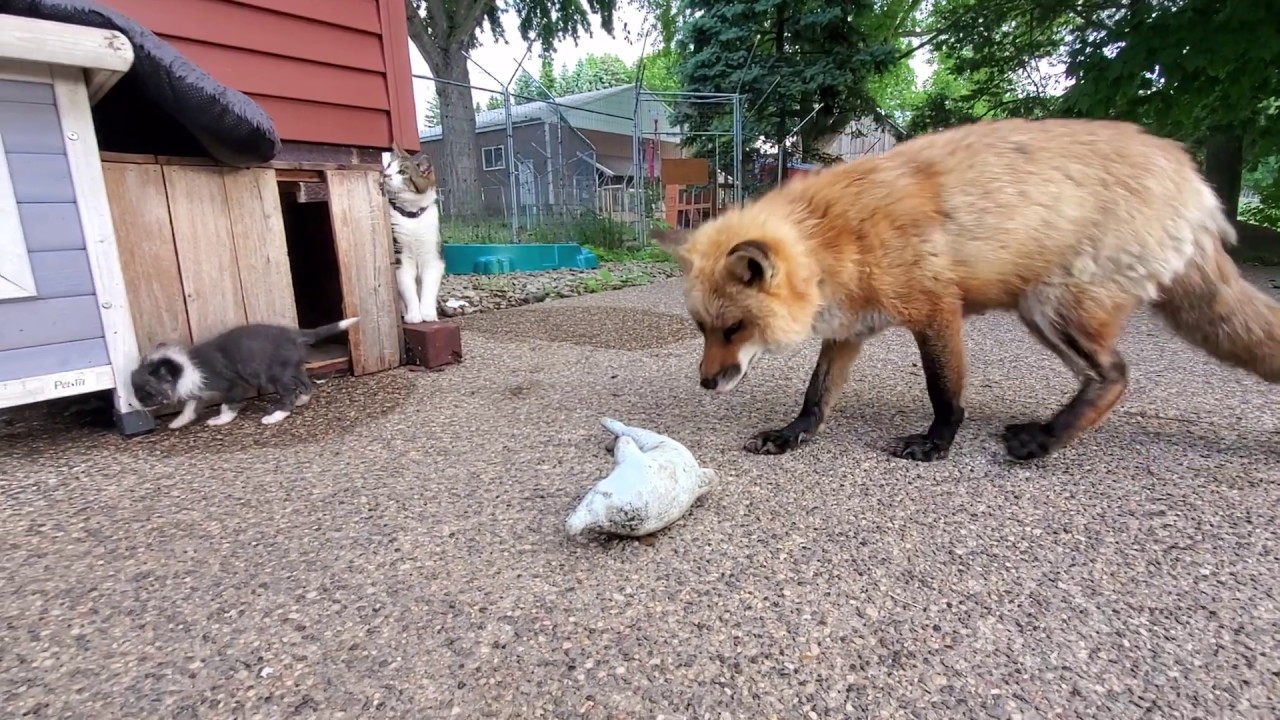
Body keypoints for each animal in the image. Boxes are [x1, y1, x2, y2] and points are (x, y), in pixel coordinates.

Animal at [652, 116, 1280, 463]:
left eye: (735, 328)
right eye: (701, 329)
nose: (706, 382)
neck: (838, 239)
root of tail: (1191, 174)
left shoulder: (936, 310)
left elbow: (944, 392)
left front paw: (936, 445)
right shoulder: (848, 329)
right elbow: (816, 395)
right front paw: (791, 436)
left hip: (1050, 306)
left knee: (1116, 376)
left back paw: (1044, 441)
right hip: (1045, 313)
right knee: (1101, 377)